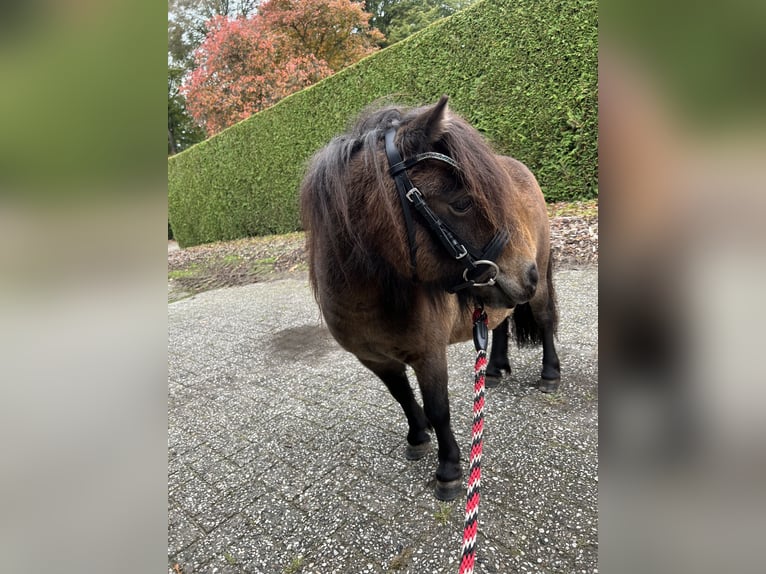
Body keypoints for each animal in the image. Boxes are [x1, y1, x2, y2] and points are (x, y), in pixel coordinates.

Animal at [304, 97, 560, 502]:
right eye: (461, 203)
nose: (527, 274)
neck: (368, 301)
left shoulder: (429, 354)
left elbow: (439, 408)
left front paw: (449, 468)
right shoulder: (375, 360)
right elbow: (403, 397)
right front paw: (417, 436)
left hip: (537, 284)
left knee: (546, 320)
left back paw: (549, 375)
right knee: (498, 324)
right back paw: (493, 368)